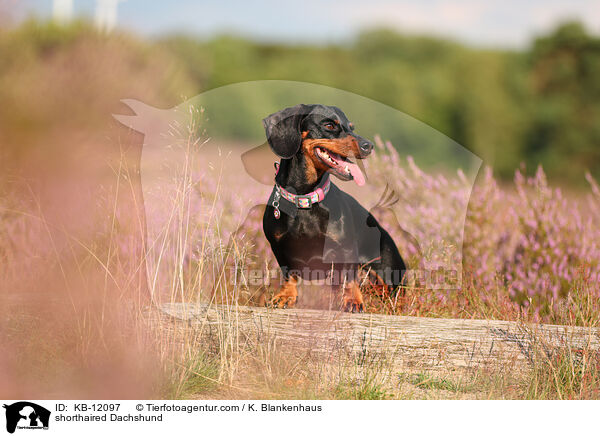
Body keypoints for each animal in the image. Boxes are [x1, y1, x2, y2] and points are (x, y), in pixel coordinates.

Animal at [264, 104, 408, 312]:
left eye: (352, 127)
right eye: (330, 125)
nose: (369, 146)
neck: (305, 199)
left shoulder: (346, 250)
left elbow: (350, 277)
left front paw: (353, 301)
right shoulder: (278, 247)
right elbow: (288, 274)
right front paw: (285, 296)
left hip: (387, 272)